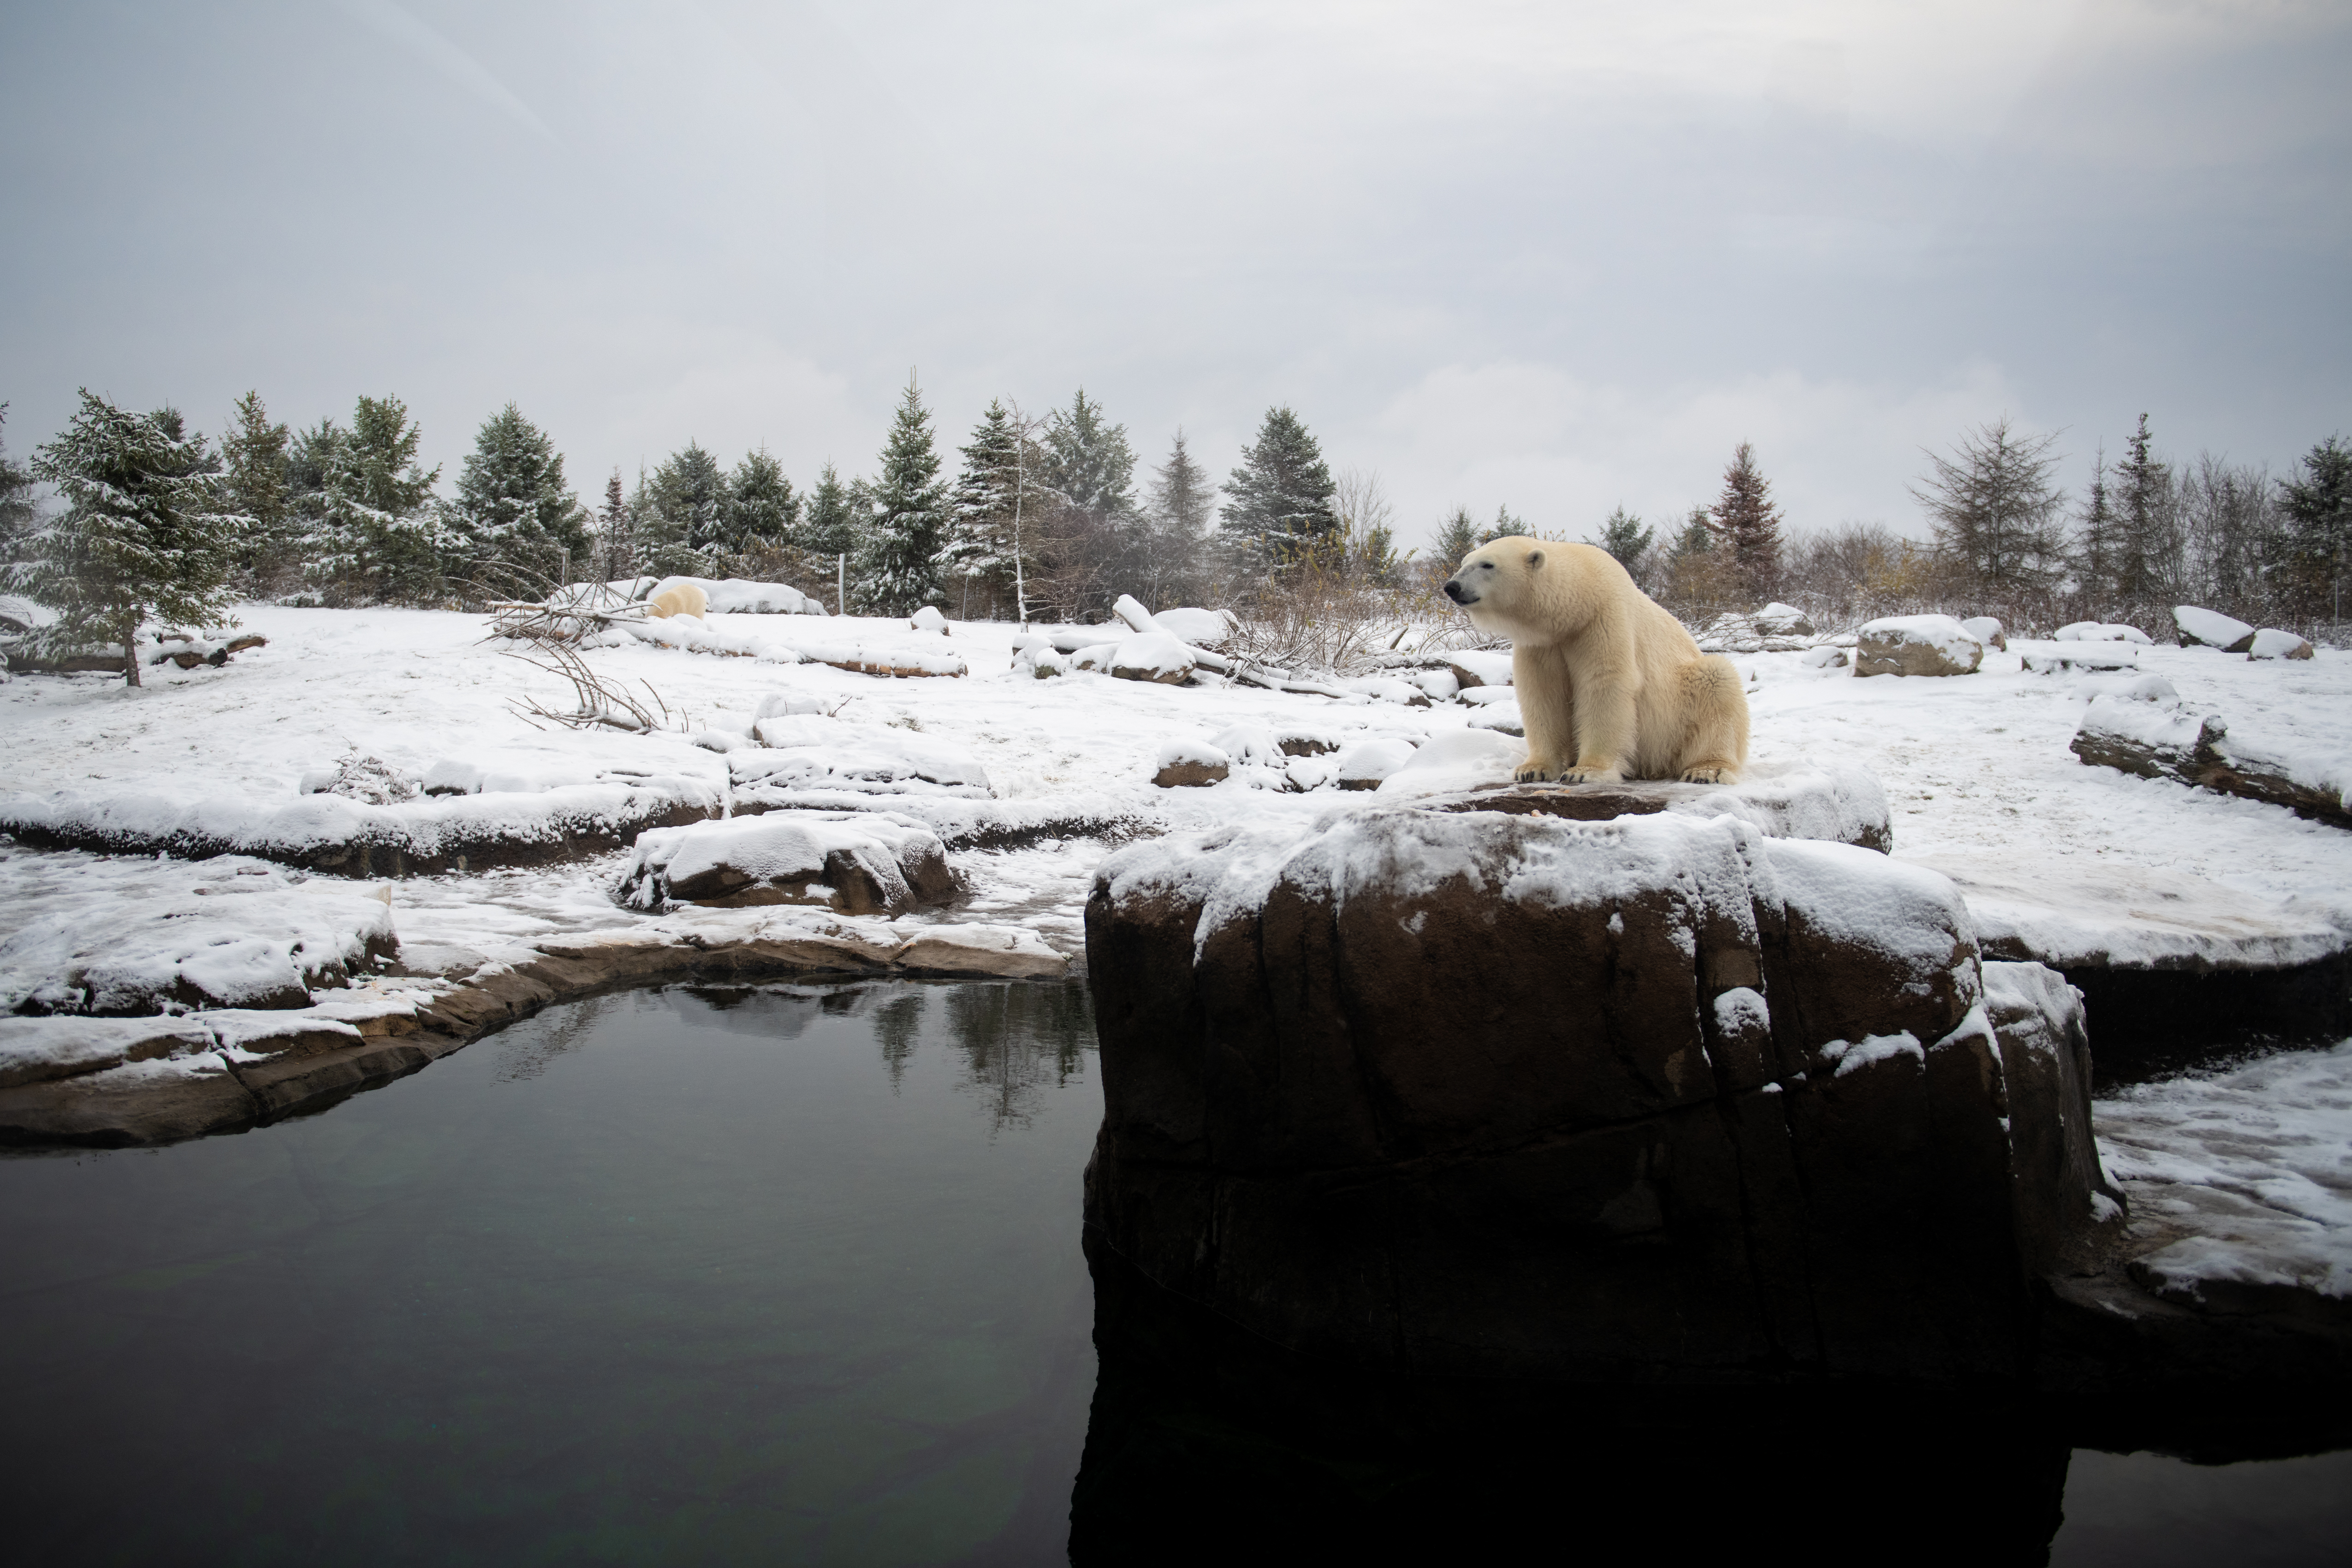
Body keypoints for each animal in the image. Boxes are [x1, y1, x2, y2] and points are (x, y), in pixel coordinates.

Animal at [1443, 537, 1748, 785]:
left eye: (1487, 565)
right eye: (1464, 563)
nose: (1452, 586)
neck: (1578, 603)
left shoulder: (1603, 619)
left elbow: (1604, 685)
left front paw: (1584, 772)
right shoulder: (1542, 643)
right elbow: (1543, 693)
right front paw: (1532, 770)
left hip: (1682, 700)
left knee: (1717, 682)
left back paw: (1707, 770)